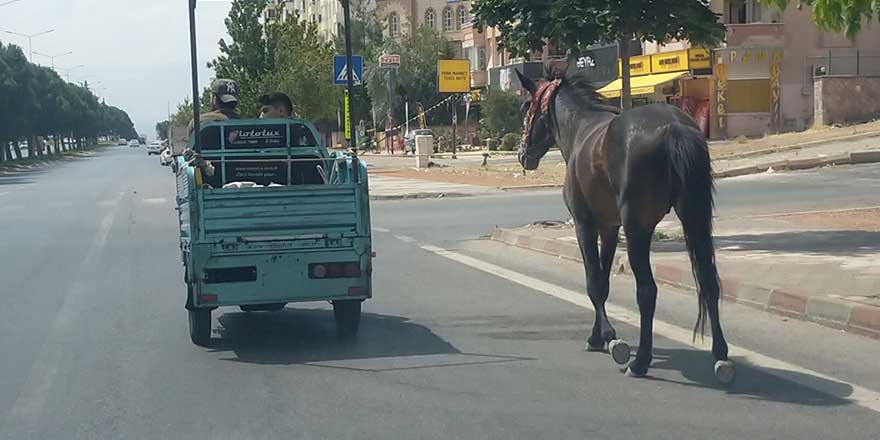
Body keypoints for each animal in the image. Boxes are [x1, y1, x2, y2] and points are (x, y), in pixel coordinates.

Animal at [516, 69, 736, 384]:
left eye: (526, 108)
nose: (523, 155)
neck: (580, 128)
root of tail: (674, 128)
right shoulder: (609, 228)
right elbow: (604, 282)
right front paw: (598, 336)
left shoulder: (584, 225)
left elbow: (594, 283)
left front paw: (608, 338)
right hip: (693, 217)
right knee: (708, 280)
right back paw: (720, 356)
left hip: (638, 229)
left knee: (647, 291)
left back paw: (641, 360)